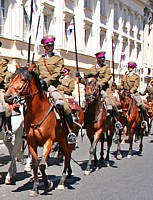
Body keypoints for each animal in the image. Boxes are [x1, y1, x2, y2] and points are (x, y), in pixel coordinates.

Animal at [4, 65, 74, 197]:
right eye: (12, 77)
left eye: (23, 79)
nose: (7, 97)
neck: (38, 113)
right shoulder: (32, 142)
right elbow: (36, 165)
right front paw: (35, 188)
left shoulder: (49, 141)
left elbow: (41, 165)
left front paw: (47, 184)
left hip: (66, 140)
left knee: (67, 156)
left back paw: (62, 181)